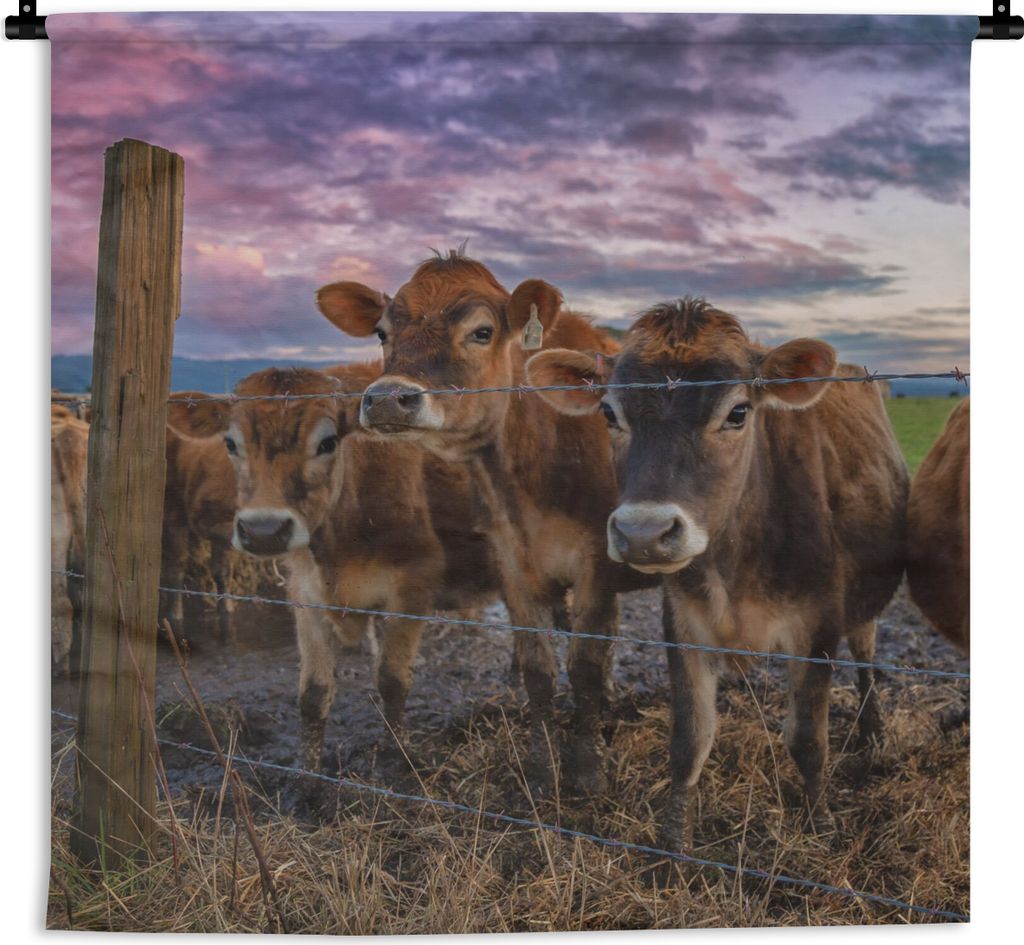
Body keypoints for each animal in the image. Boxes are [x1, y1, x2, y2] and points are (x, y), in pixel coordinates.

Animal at [313, 251, 648, 795]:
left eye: (481, 332)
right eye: (382, 332)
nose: (386, 399)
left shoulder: (597, 562)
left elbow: (583, 667)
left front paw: (586, 771)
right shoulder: (511, 561)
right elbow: (538, 671)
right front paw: (541, 768)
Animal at [527, 298, 908, 848]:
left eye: (738, 412)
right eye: (609, 412)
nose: (644, 532)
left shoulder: (817, 626)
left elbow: (808, 740)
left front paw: (819, 824)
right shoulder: (684, 623)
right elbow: (690, 738)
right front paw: (673, 843)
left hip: (861, 607)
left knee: (866, 656)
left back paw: (873, 729)